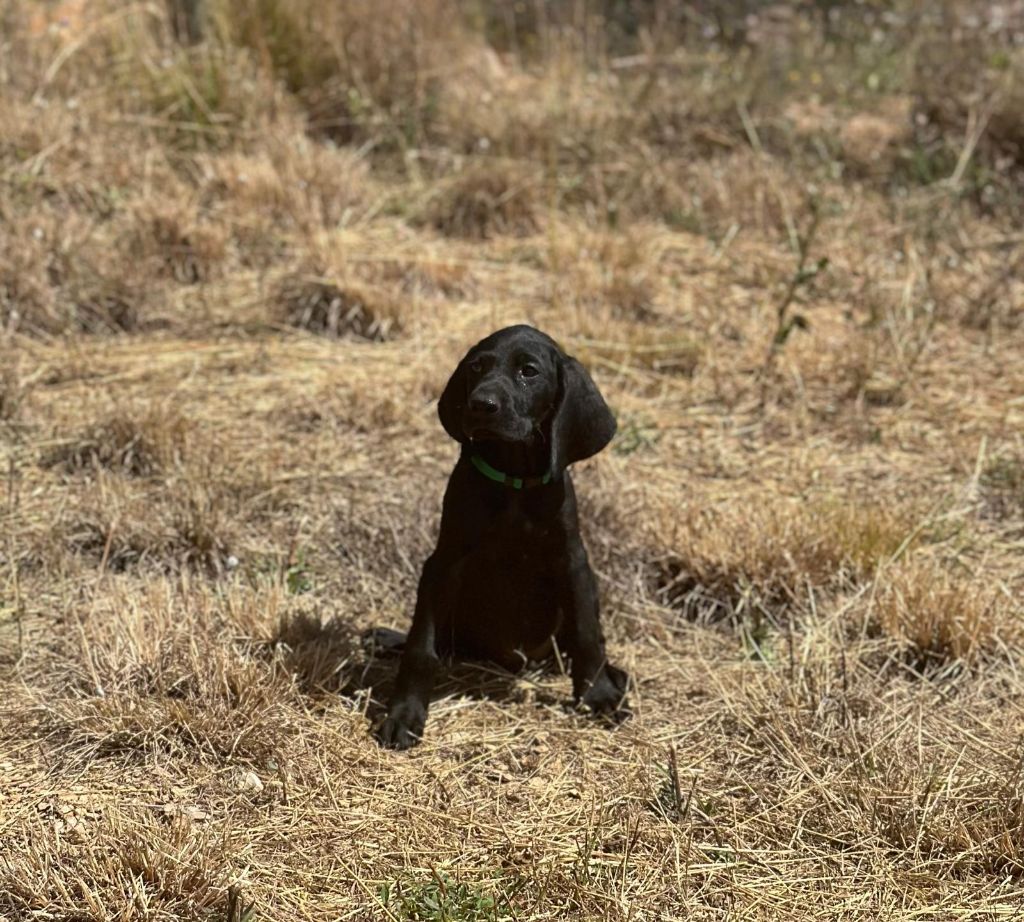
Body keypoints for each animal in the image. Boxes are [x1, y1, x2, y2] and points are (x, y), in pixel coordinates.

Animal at [380, 323, 626, 749]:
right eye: (477, 367)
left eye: (529, 371)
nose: (482, 404)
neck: (514, 481)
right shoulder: (443, 563)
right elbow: (420, 647)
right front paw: (404, 713)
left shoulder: (573, 563)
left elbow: (587, 635)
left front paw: (598, 695)